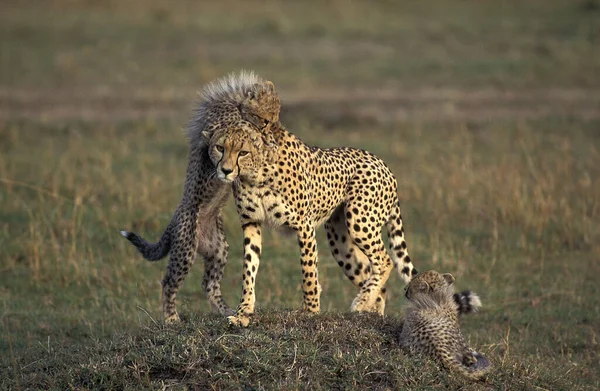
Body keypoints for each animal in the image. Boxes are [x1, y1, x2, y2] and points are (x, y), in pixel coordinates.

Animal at [202, 72, 418, 326]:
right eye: (219, 148)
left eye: (242, 152)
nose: (225, 170)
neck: (256, 173)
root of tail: (383, 163)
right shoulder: (251, 223)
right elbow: (249, 269)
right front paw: (243, 312)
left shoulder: (304, 226)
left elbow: (308, 271)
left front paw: (311, 311)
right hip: (339, 241)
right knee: (369, 270)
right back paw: (370, 311)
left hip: (359, 221)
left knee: (384, 260)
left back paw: (361, 303)